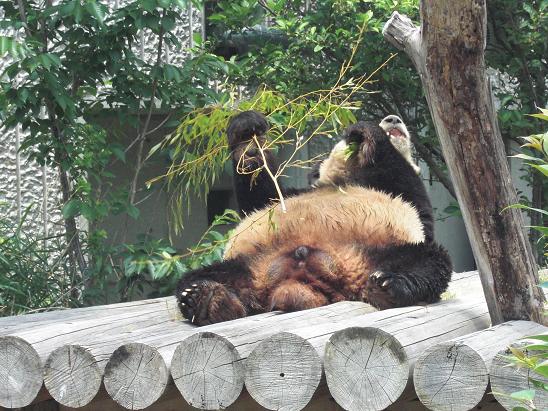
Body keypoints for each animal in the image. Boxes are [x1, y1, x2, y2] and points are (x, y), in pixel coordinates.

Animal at [176, 111, 450, 326]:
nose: (393, 119)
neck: (351, 174)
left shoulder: (406, 197)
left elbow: (404, 180)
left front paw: (364, 131)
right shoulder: (292, 193)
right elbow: (261, 193)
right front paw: (248, 131)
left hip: (382, 251)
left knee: (430, 262)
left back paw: (389, 286)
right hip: (251, 262)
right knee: (201, 277)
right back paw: (206, 300)